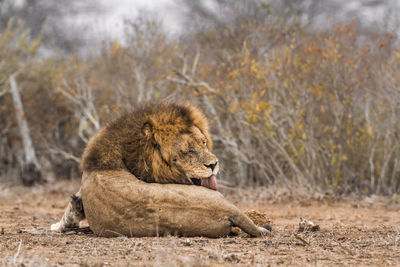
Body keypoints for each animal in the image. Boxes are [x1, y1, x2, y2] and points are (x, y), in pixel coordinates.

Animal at [50, 102, 268, 239]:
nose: (214, 164)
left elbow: (70, 211)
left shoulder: (81, 192)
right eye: (188, 150)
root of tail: (226, 210)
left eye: (204, 142)